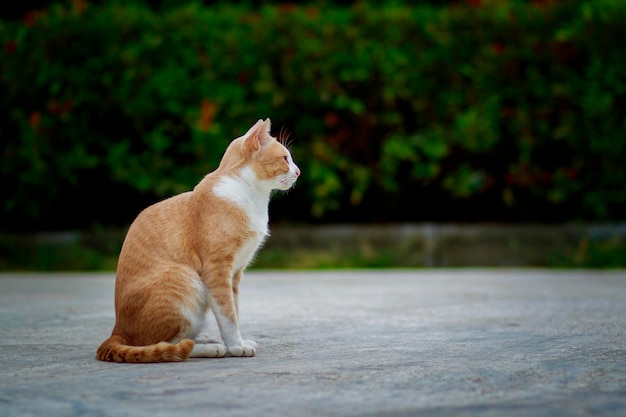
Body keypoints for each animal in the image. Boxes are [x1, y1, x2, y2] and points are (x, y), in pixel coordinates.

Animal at [95, 118, 300, 360]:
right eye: (285, 158)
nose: (298, 172)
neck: (250, 195)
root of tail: (117, 330)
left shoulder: (234, 274)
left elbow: (234, 310)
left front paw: (237, 341)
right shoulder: (216, 270)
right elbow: (228, 314)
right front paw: (236, 346)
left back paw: (205, 340)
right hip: (185, 278)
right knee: (167, 344)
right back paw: (209, 347)